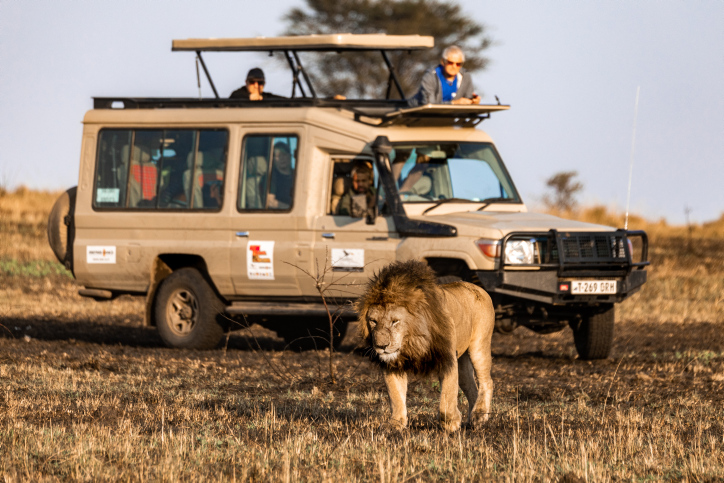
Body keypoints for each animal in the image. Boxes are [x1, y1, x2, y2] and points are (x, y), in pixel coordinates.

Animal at [358, 260, 494, 434]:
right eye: (373, 321)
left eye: (395, 321)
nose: (381, 346)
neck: (412, 341)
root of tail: (479, 288)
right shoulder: (392, 364)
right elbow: (396, 395)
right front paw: (396, 423)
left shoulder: (447, 357)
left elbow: (447, 395)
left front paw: (451, 423)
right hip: (463, 360)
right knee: (471, 386)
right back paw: (475, 420)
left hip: (479, 346)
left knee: (486, 381)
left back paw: (479, 415)